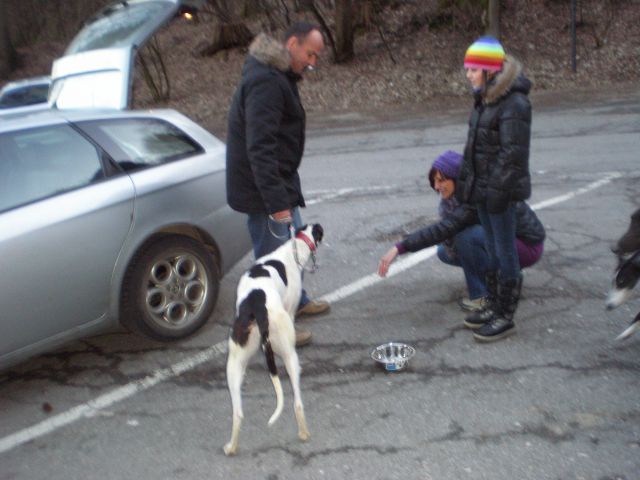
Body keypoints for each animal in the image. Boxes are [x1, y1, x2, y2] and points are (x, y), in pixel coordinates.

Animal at [225, 223, 324, 456]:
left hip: (234, 363)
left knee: (238, 413)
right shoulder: (291, 310)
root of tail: (257, 304)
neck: (292, 249)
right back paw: (304, 433)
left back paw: (231, 447)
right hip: (290, 354)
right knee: (297, 402)